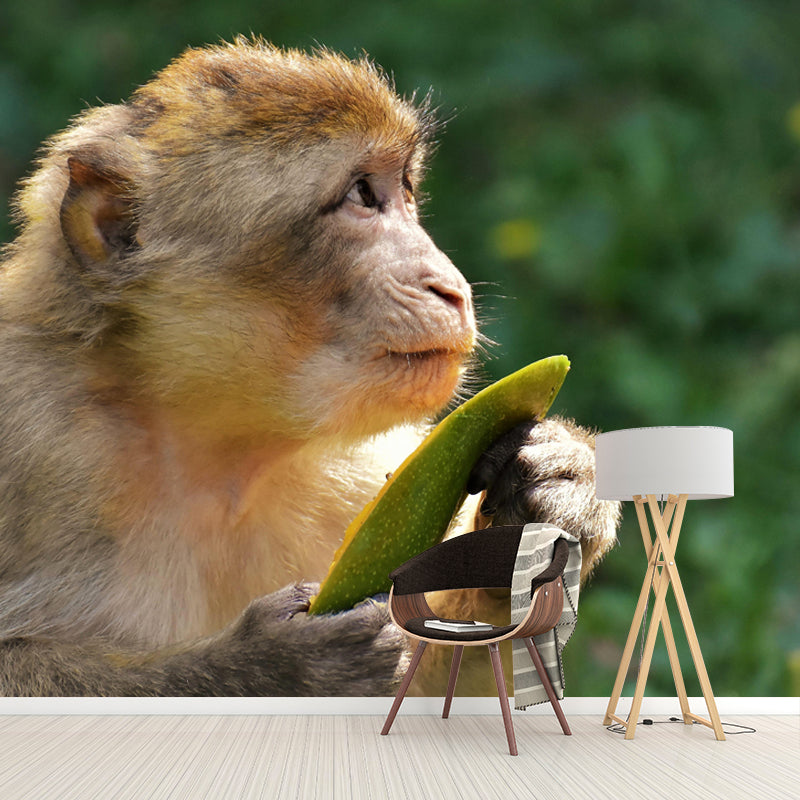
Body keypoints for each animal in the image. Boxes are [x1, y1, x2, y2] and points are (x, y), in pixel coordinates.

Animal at [0, 37, 619, 696]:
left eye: (402, 188)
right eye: (361, 195)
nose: (451, 287)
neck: (223, 454)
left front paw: (558, 490)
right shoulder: (46, 444)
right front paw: (274, 666)